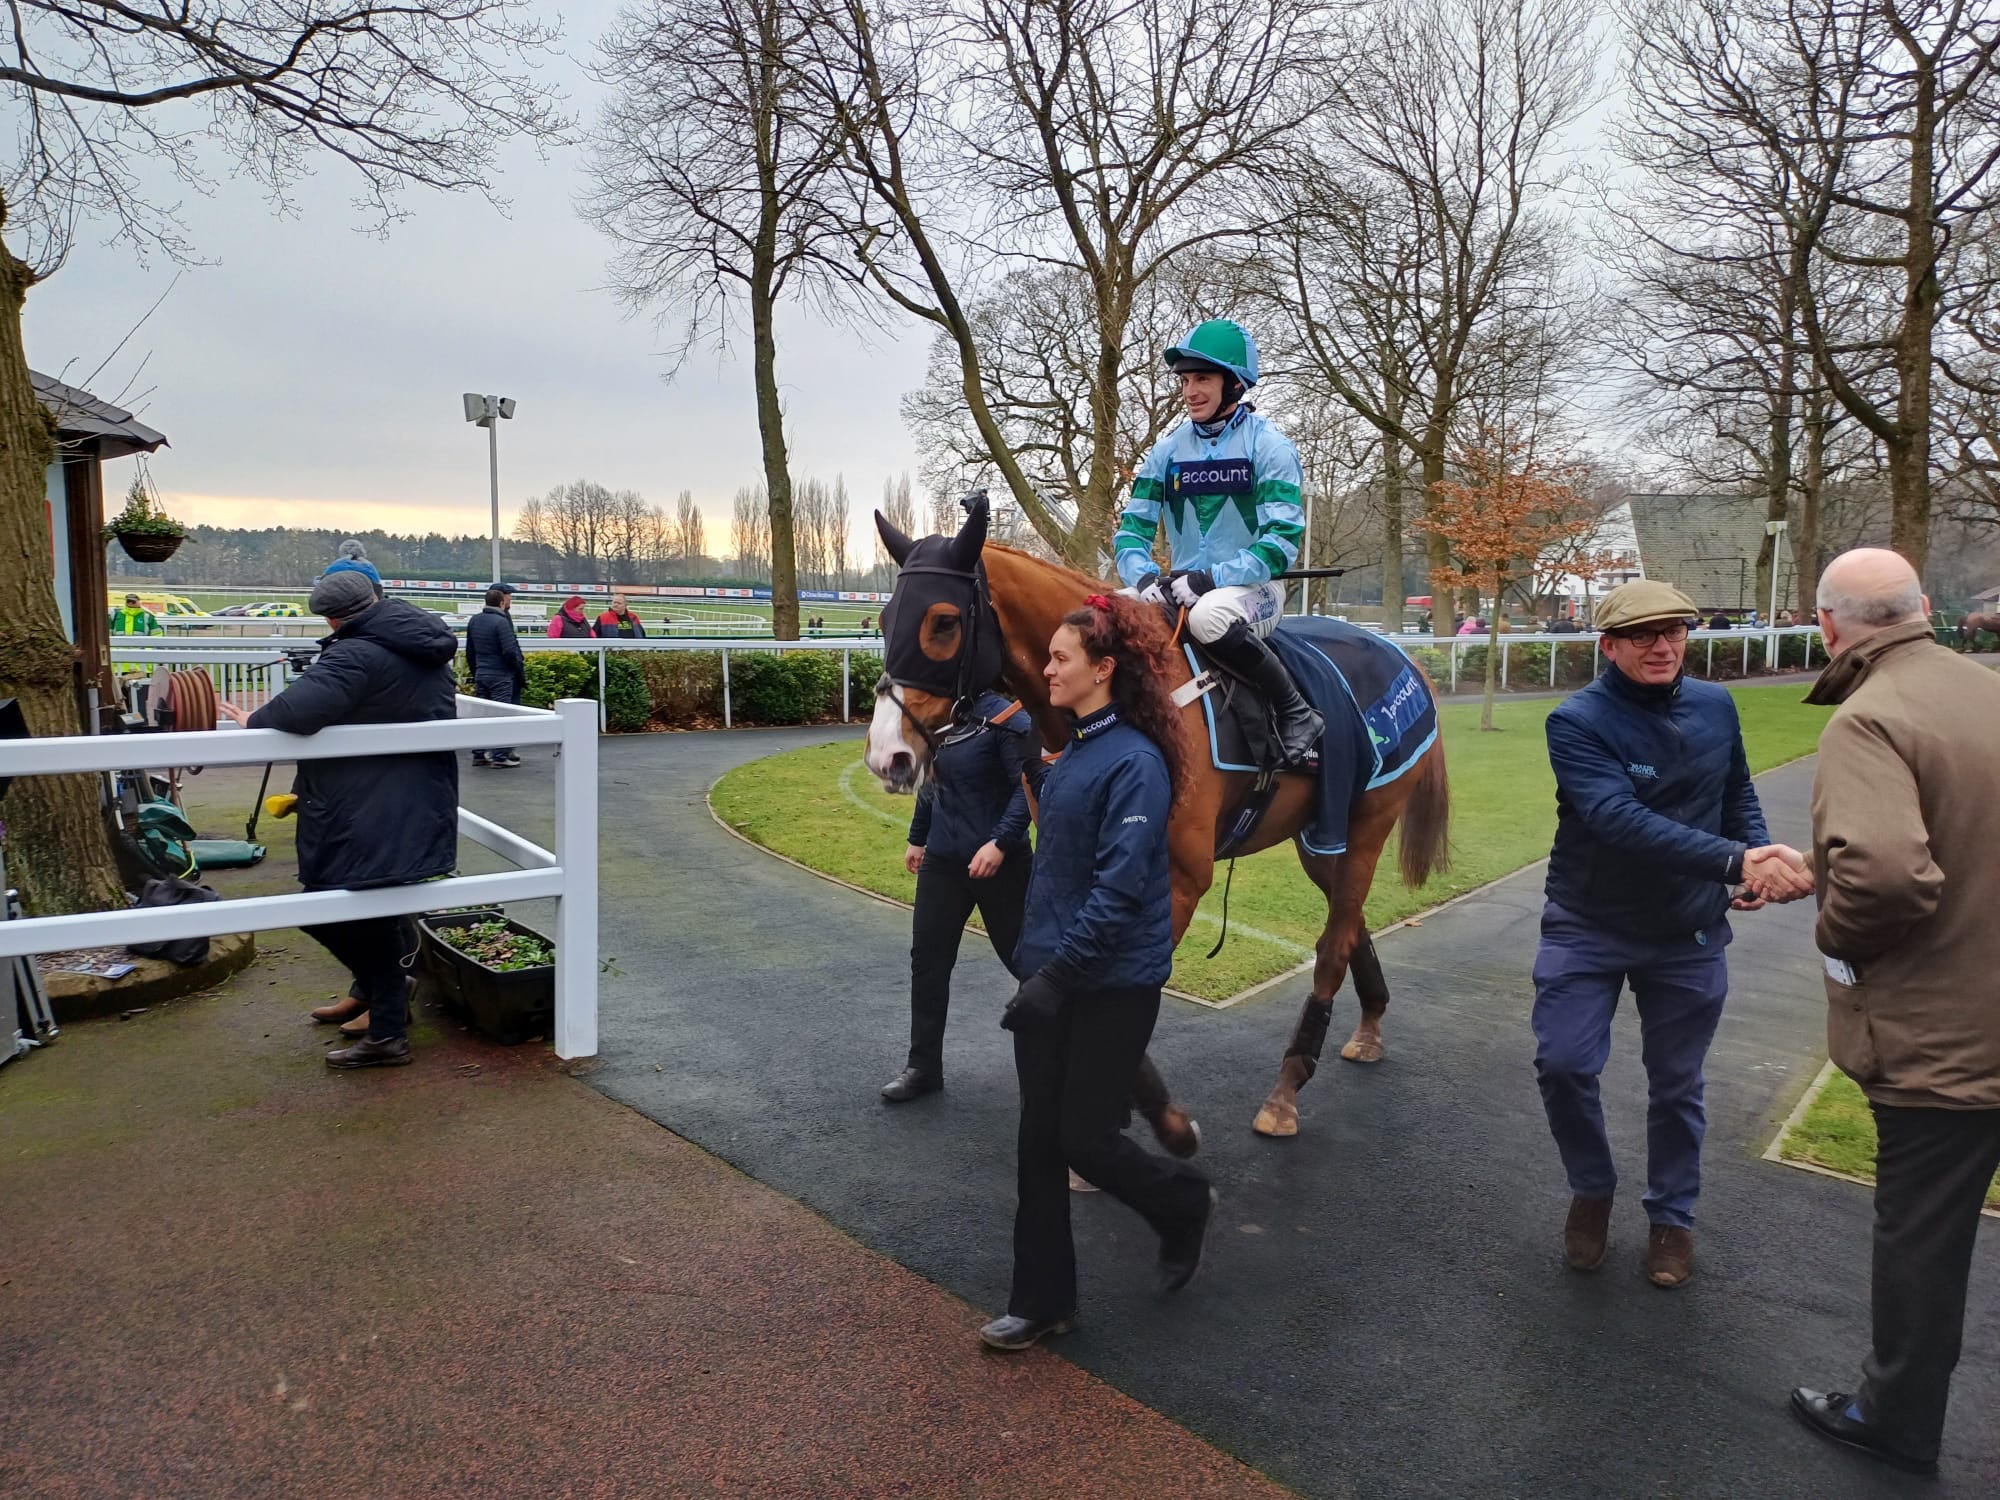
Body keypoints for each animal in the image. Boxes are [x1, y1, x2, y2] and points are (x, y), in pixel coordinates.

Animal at [868, 506, 1448, 1136]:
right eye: (884, 619)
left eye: (944, 622)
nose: (886, 756)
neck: (1125, 698)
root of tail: (1405, 659)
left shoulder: (1175, 879)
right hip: (1321, 840)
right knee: (1351, 922)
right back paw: (1369, 1028)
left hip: (1366, 823)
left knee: (1333, 945)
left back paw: (1285, 1093)